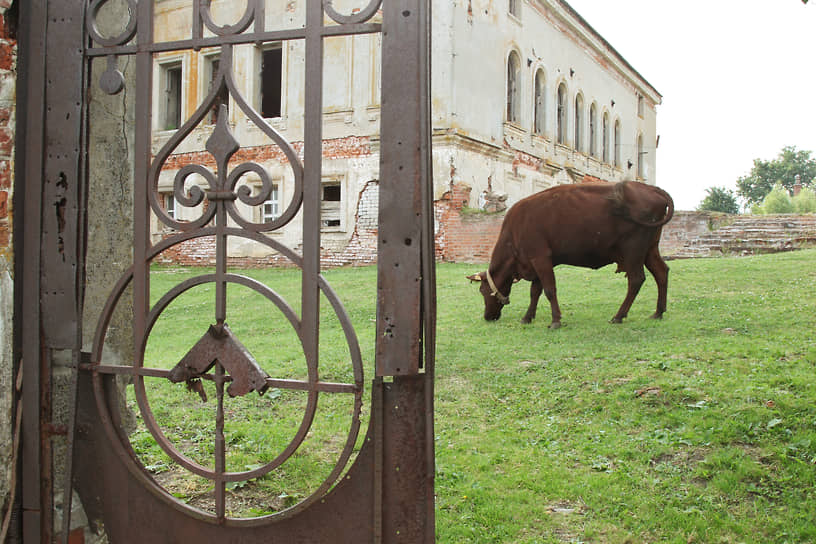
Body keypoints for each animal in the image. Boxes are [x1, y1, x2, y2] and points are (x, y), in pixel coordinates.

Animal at [468, 182, 672, 328]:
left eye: (482, 291)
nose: (488, 317)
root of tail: (652, 188)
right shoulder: (536, 262)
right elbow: (535, 292)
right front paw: (528, 317)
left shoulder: (540, 258)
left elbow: (549, 290)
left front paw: (555, 320)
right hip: (649, 249)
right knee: (661, 272)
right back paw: (658, 312)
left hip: (633, 250)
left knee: (636, 279)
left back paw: (618, 316)